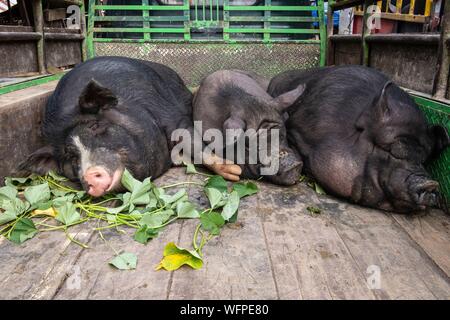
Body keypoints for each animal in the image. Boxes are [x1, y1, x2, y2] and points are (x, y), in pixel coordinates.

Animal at [18, 57, 243, 198]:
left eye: (95, 125)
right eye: (70, 155)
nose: (90, 174)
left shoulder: (173, 117)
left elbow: (193, 144)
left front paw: (235, 171)